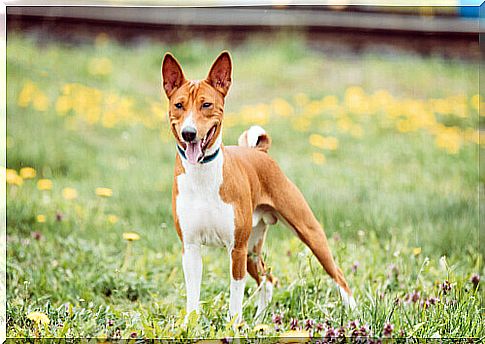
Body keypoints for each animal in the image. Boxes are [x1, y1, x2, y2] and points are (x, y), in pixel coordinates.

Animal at [161, 51, 354, 326]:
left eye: (206, 105)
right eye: (179, 105)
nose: (189, 133)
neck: (203, 178)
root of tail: (259, 152)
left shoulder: (237, 249)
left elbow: (235, 299)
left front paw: (233, 327)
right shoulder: (191, 248)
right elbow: (193, 298)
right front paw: (191, 326)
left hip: (308, 232)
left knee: (338, 274)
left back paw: (354, 312)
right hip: (253, 250)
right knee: (268, 280)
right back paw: (260, 319)